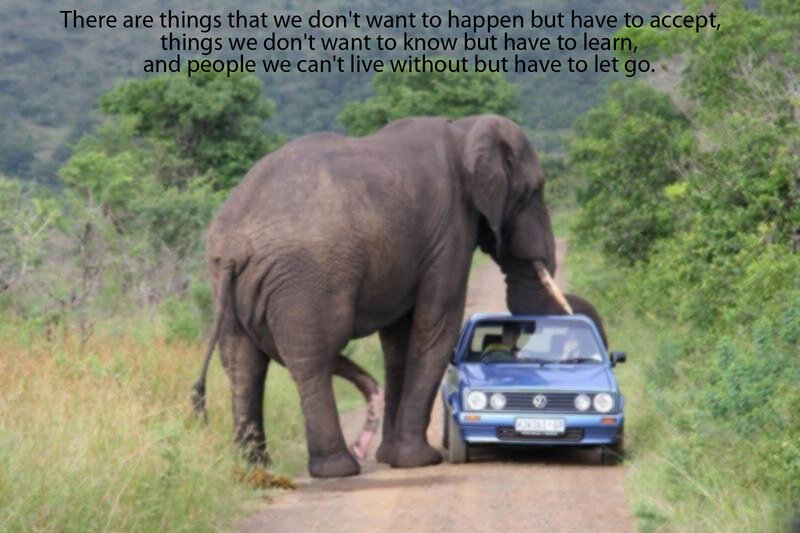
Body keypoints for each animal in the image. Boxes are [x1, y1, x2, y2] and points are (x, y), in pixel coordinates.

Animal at [190, 114, 583, 478]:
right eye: (535, 190)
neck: (464, 131)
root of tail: (235, 245)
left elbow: (398, 341)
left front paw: (390, 457)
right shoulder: (449, 231)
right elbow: (436, 324)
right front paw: (419, 461)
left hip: (225, 280)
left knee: (243, 363)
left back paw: (255, 469)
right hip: (305, 279)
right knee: (312, 357)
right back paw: (337, 469)